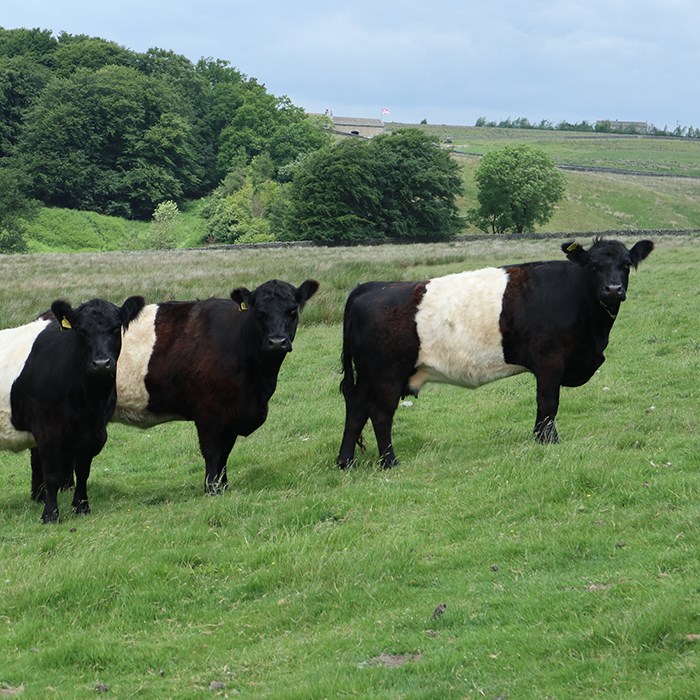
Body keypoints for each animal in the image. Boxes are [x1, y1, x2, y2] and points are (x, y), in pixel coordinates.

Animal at [2, 296, 145, 524]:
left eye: (115, 328)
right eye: (81, 331)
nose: (101, 363)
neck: (89, 403)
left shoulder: (94, 432)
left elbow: (83, 471)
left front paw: (82, 506)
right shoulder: (47, 431)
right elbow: (52, 475)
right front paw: (50, 515)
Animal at [107, 278, 320, 492]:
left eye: (292, 310)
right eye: (260, 312)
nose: (277, 342)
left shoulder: (231, 416)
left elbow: (224, 455)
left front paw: (223, 486)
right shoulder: (209, 413)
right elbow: (212, 453)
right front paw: (211, 488)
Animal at [336, 238, 652, 468]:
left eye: (626, 264)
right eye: (594, 266)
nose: (613, 289)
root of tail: (369, 287)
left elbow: (543, 406)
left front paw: (539, 438)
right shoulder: (549, 361)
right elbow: (548, 403)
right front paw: (549, 441)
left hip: (368, 376)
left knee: (356, 409)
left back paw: (345, 462)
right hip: (385, 375)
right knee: (379, 414)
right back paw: (389, 462)